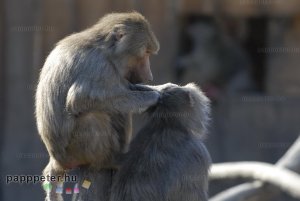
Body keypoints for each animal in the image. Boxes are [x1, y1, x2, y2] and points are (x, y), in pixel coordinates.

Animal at [34, 11, 159, 200]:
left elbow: (124, 89)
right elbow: (81, 98)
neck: (106, 51)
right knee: (93, 116)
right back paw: (112, 161)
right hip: (73, 152)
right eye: (145, 53)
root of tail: (56, 159)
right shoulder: (99, 66)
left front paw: (156, 89)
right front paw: (153, 96)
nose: (149, 76)